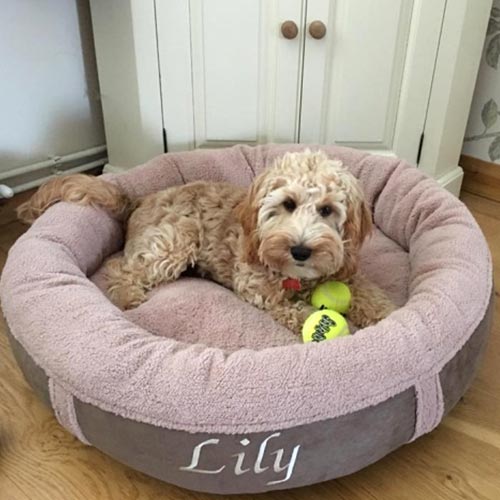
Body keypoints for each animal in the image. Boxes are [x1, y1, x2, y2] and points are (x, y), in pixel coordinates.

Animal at [18, 150, 394, 334]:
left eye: (327, 209)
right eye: (288, 204)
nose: (300, 250)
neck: (298, 277)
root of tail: (139, 199)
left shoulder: (346, 270)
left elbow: (370, 294)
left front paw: (389, 316)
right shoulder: (256, 286)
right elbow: (292, 310)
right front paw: (317, 322)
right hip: (176, 238)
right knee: (118, 267)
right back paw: (128, 296)